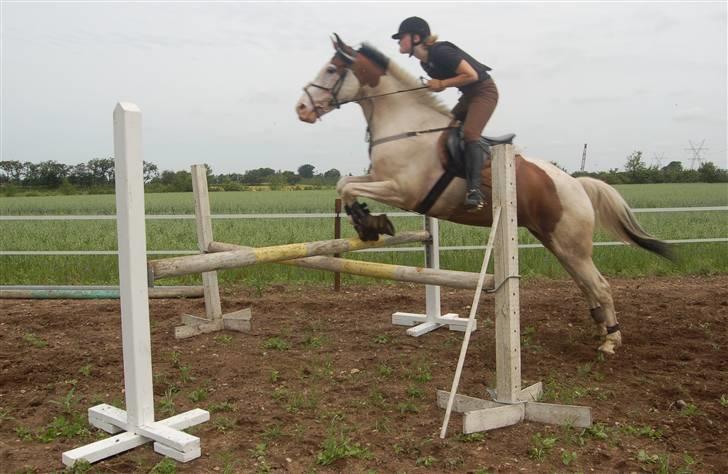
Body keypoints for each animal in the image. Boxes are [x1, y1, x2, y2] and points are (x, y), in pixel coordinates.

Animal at [294, 34, 672, 356]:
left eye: (331, 69)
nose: (301, 109)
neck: (405, 124)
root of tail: (577, 184)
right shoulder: (380, 178)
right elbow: (343, 183)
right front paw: (368, 223)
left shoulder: (403, 190)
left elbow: (348, 186)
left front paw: (371, 224)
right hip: (558, 243)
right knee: (586, 285)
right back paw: (600, 331)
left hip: (570, 244)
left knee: (600, 285)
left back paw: (611, 341)